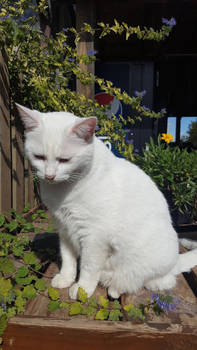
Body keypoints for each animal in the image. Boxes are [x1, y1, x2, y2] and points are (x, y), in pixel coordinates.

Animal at [16, 102, 197, 300]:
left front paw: (82, 289)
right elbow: (68, 259)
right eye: (39, 157)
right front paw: (66, 278)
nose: (49, 176)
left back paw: (115, 286)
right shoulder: (64, 229)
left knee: (150, 281)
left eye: (64, 160)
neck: (63, 191)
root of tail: (176, 260)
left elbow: (88, 267)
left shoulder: (94, 237)